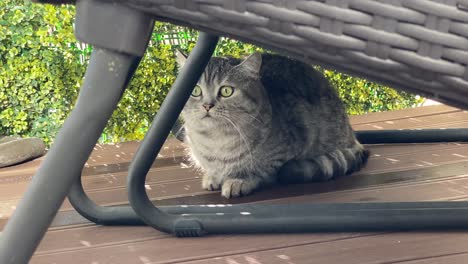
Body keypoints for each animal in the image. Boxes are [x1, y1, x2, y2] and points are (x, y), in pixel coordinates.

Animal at [176, 50, 370, 198]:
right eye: (195, 90)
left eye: (226, 91)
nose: (207, 105)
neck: (216, 142)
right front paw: (212, 176)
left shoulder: (284, 152)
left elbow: (260, 171)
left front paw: (239, 180)